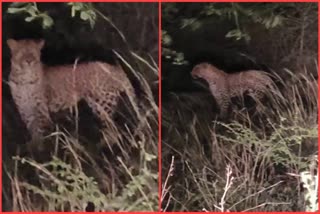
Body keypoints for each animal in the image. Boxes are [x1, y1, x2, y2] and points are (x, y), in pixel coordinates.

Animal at [6, 38, 136, 145]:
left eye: (33, 53)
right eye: (22, 52)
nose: (29, 61)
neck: (23, 79)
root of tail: (113, 68)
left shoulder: (41, 108)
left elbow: (42, 129)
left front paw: (43, 151)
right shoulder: (24, 108)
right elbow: (33, 130)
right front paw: (34, 148)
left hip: (105, 102)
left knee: (113, 127)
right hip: (96, 104)